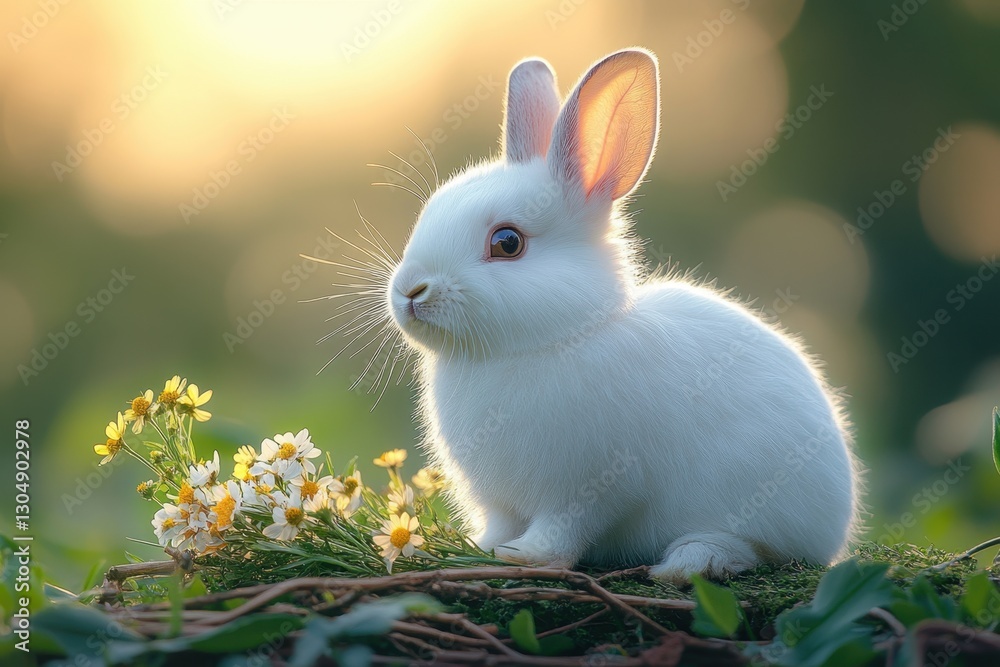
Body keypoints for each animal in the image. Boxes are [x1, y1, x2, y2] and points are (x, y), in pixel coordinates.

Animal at [381, 48, 860, 583]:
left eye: (507, 243)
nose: (409, 292)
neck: (555, 336)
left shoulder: (593, 486)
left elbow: (565, 528)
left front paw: (525, 557)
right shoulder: (503, 503)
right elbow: (500, 525)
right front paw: (478, 547)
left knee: (750, 549)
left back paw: (691, 561)